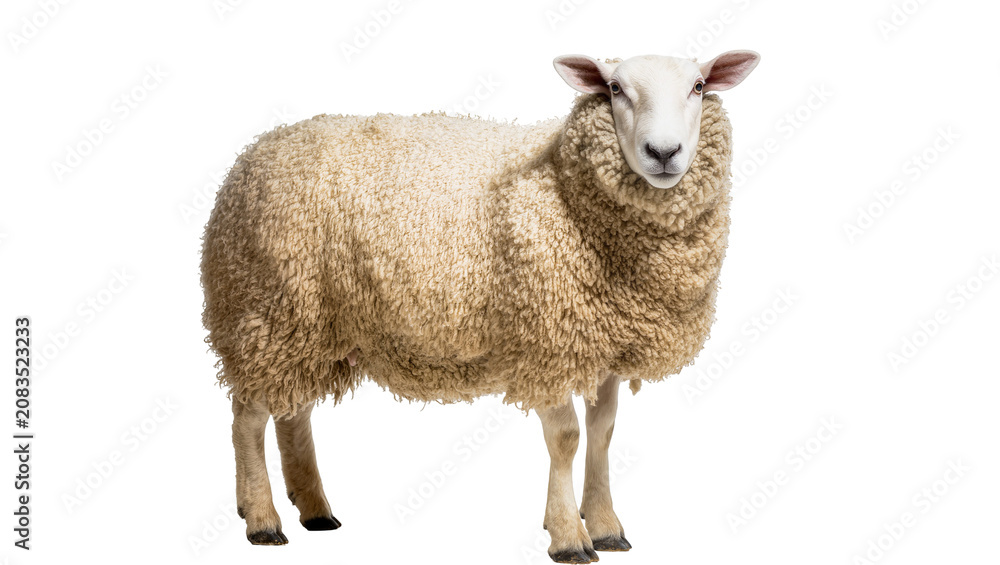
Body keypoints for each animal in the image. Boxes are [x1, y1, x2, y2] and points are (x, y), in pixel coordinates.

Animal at [201, 50, 759, 562]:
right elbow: (566, 438)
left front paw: (605, 527)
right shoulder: (545, 341)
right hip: (265, 310)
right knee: (248, 417)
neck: (563, 185)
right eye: (616, 88)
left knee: (291, 412)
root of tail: (253, 153)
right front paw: (568, 537)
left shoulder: (602, 346)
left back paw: (315, 509)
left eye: (699, 86)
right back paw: (262, 519)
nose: (663, 151)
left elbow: (602, 435)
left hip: (311, 325)